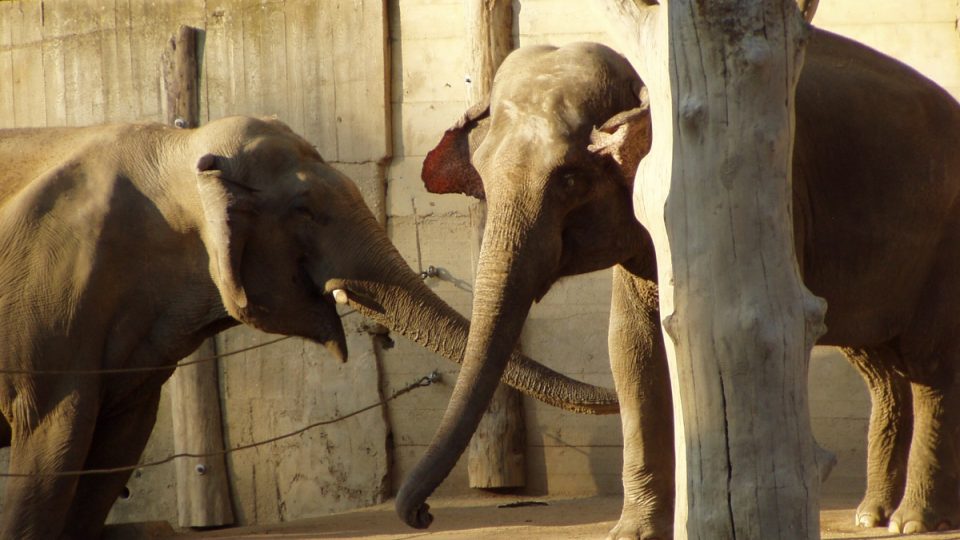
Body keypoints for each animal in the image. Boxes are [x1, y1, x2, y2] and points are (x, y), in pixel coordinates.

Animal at [0, 118, 616, 540]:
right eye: (305, 210)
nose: (423, 515)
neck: (181, 152)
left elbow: (116, 443)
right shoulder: (52, 304)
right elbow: (54, 439)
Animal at [396, 28, 960, 536]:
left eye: (570, 179)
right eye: (482, 175)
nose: (422, 515)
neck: (646, 74)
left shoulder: (765, 202)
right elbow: (630, 347)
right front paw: (633, 533)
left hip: (942, 250)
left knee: (929, 366)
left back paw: (913, 521)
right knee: (879, 367)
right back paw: (872, 515)